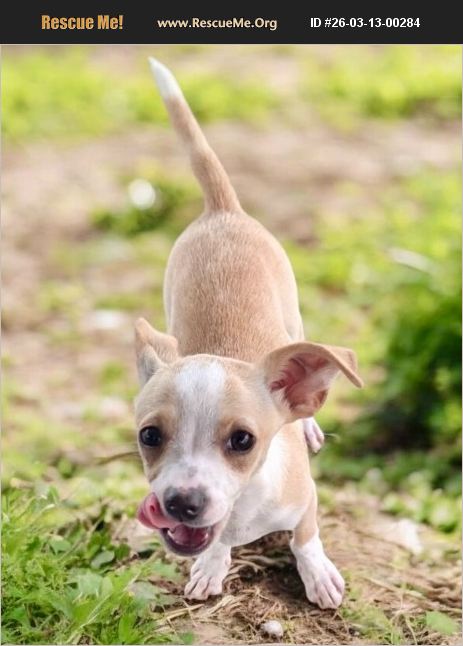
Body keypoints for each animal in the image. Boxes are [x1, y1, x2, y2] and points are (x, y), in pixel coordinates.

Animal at [135, 58, 363, 609]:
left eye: (243, 441)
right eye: (149, 436)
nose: (182, 501)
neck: (242, 509)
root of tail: (223, 210)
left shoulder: (306, 500)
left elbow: (305, 536)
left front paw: (318, 574)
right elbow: (215, 543)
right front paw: (211, 565)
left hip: (294, 313)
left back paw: (307, 423)